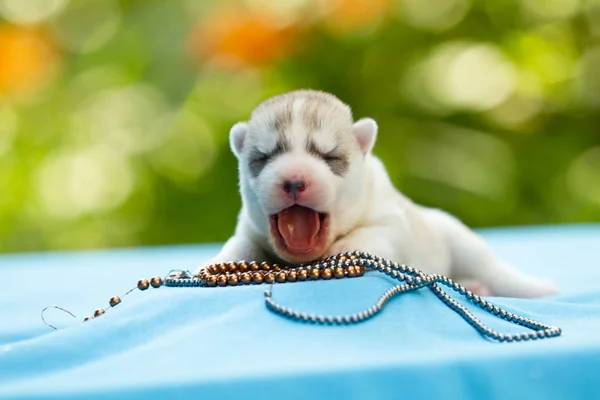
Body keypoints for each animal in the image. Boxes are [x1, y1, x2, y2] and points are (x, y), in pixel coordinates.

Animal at [197, 90, 556, 296]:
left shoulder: (390, 221)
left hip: (461, 242)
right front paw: (215, 263)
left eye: (330, 157)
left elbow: (367, 235)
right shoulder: (250, 228)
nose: (294, 181)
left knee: (494, 272)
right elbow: (238, 245)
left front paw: (345, 249)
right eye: (263, 157)